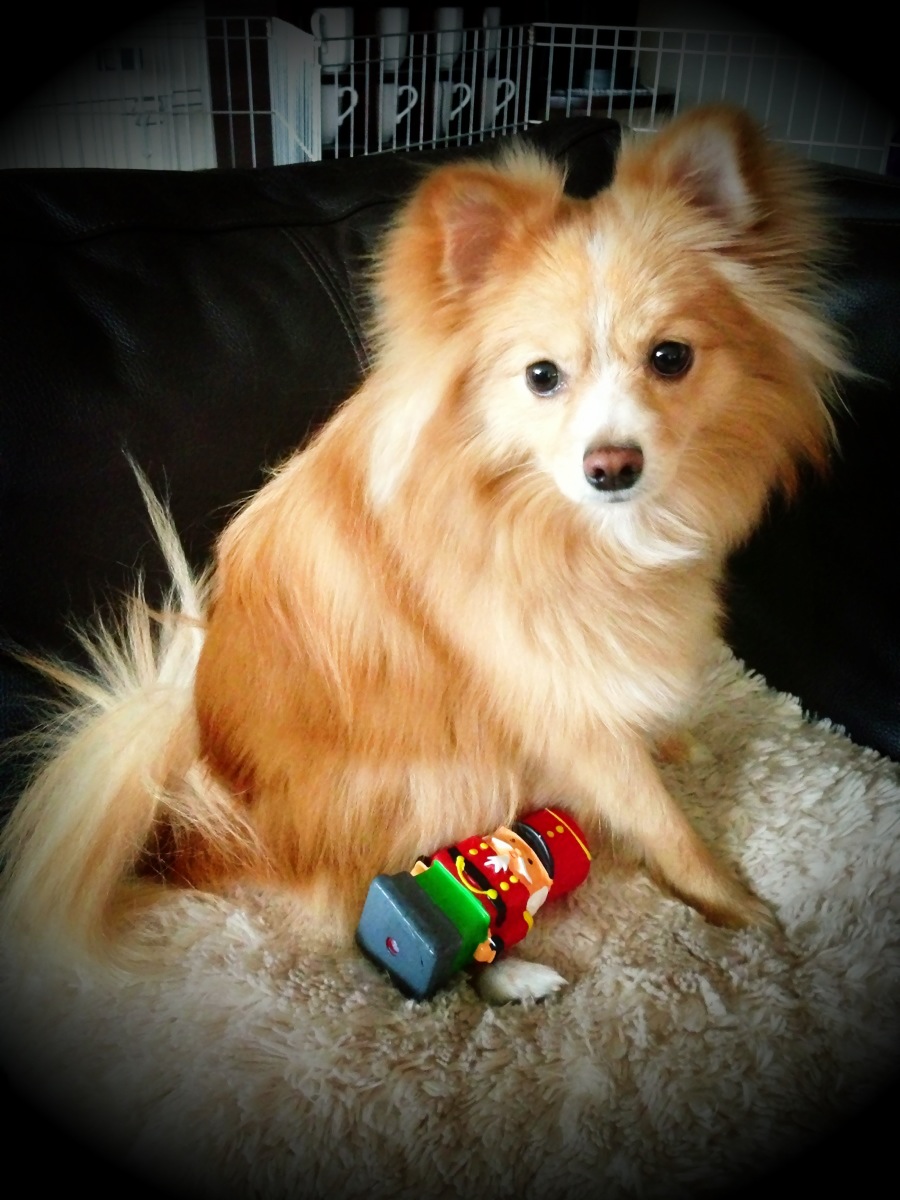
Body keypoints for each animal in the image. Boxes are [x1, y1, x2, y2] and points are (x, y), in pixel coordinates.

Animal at [0, 105, 845, 1003]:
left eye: (670, 358)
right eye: (541, 377)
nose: (612, 464)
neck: (571, 527)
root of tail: (206, 814)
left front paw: (674, 739)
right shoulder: (554, 701)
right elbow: (661, 818)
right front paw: (733, 903)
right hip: (446, 780)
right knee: (376, 908)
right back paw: (512, 972)